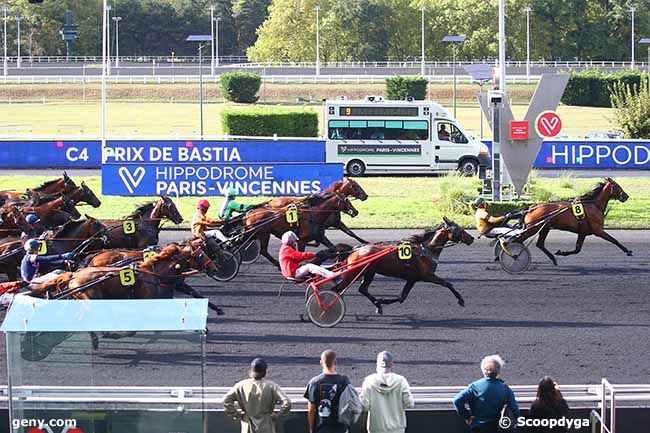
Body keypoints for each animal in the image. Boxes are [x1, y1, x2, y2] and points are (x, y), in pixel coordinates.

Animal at [332, 216, 474, 314]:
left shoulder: (412, 279)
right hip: (353, 273)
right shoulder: (427, 276)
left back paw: (378, 305)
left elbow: (401, 297)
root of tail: (354, 250)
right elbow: (448, 283)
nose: (472, 238)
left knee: (362, 289)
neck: (425, 250)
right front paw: (461, 300)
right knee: (336, 289)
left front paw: (381, 301)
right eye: (459, 228)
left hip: (369, 272)